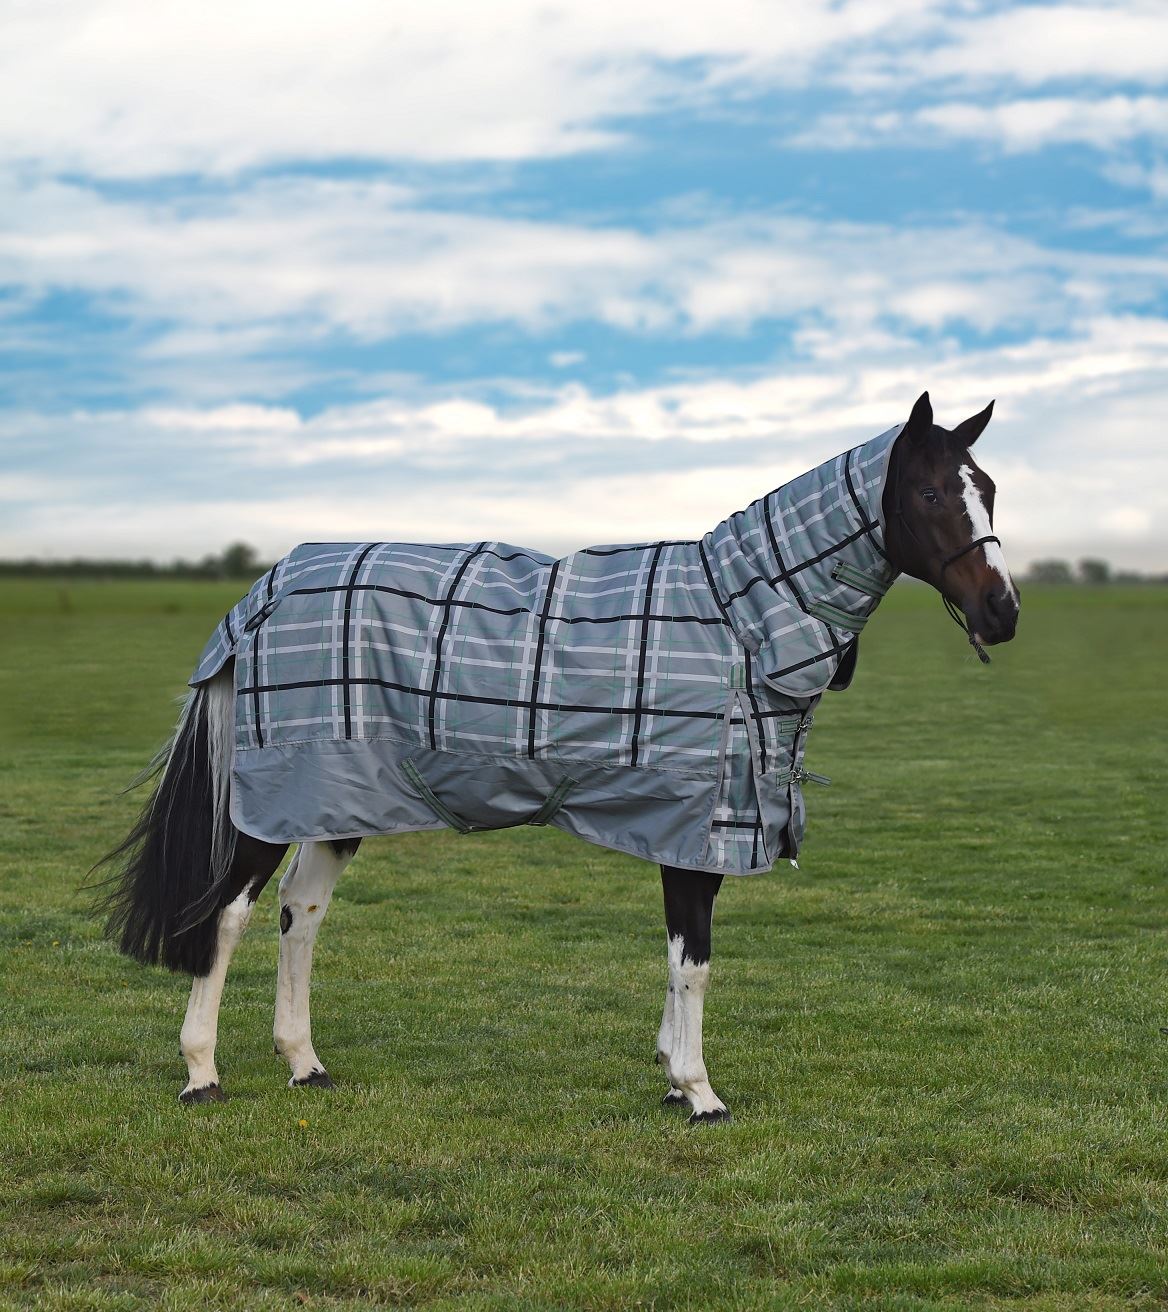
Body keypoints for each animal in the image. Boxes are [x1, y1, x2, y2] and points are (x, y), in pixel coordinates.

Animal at [97, 390, 1019, 1122]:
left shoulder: (693, 830)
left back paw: (304, 1064)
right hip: (273, 799)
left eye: (988, 489)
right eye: (930, 490)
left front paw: (672, 1076)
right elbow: (695, 963)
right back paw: (202, 1073)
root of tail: (270, 587)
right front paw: (700, 1092)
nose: (1002, 611)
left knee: (303, 911)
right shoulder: (696, 829)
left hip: (338, 792)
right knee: (225, 915)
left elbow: (679, 957)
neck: (739, 616)